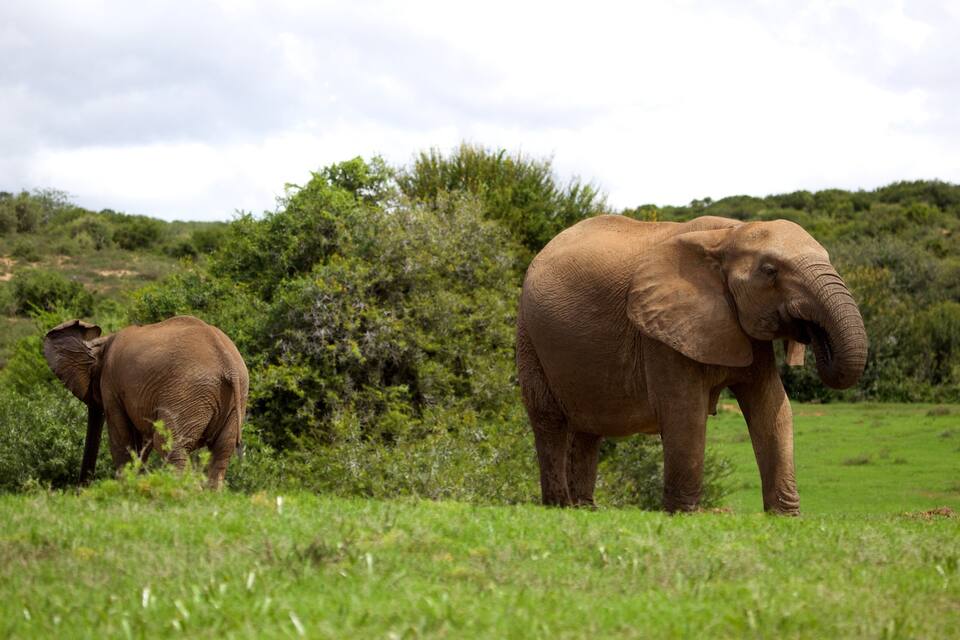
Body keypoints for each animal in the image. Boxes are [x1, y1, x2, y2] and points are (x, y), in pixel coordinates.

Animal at [43, 315, 249, 488]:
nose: (81, 491)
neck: (103, 342)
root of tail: (228, 362)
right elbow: (141, 443)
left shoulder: (111, 384)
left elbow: (122, 438)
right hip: (233, 398)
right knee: (221, 452)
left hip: (189, 393)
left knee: (170, 445)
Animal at [516, 215, 867, 514]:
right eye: (770, 272)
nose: (810, 330)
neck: (727, 236)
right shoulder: (660, 334)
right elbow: (685, 412)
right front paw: (682, 514)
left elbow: (772, 409)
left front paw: (785, 518)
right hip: (529, 334)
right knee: (549, 419)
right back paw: (560, 506)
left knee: (589, 428)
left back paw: (585, 509)